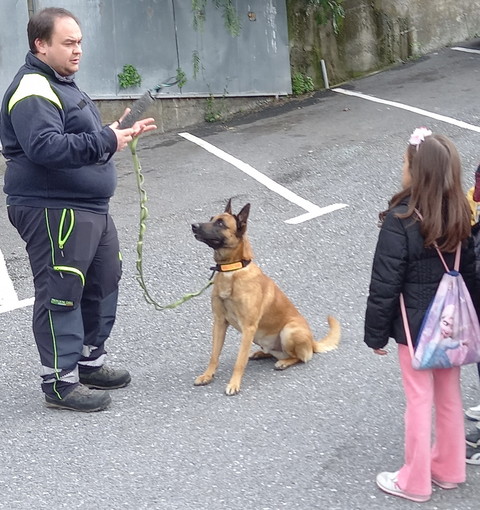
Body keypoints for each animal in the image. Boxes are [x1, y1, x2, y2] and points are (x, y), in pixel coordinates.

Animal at [191, 198, 342, 394]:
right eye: (211, 218)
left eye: (221, 223)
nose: (193, 226)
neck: (232, 270)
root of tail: (312, 342)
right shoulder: (219, 322)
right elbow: (214, 354)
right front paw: (207, 375)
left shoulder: (248, 327)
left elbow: (240, 361)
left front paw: (234, 384)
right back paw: (261, 353)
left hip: (289, 331)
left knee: (301, 357)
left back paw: (284, 362)